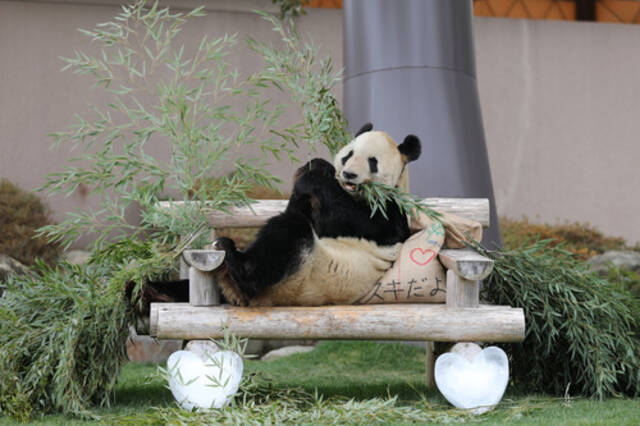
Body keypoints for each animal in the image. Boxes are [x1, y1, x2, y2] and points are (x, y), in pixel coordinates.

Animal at [212, 123, 420, 306]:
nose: (349, 174)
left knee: (289, 230)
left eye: (372, 162)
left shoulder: (390, 211)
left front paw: (310, 177)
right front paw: (317, 166)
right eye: (348, 155)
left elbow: (365, 222)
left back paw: (238, 266)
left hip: (303, 277)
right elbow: (305, 206)